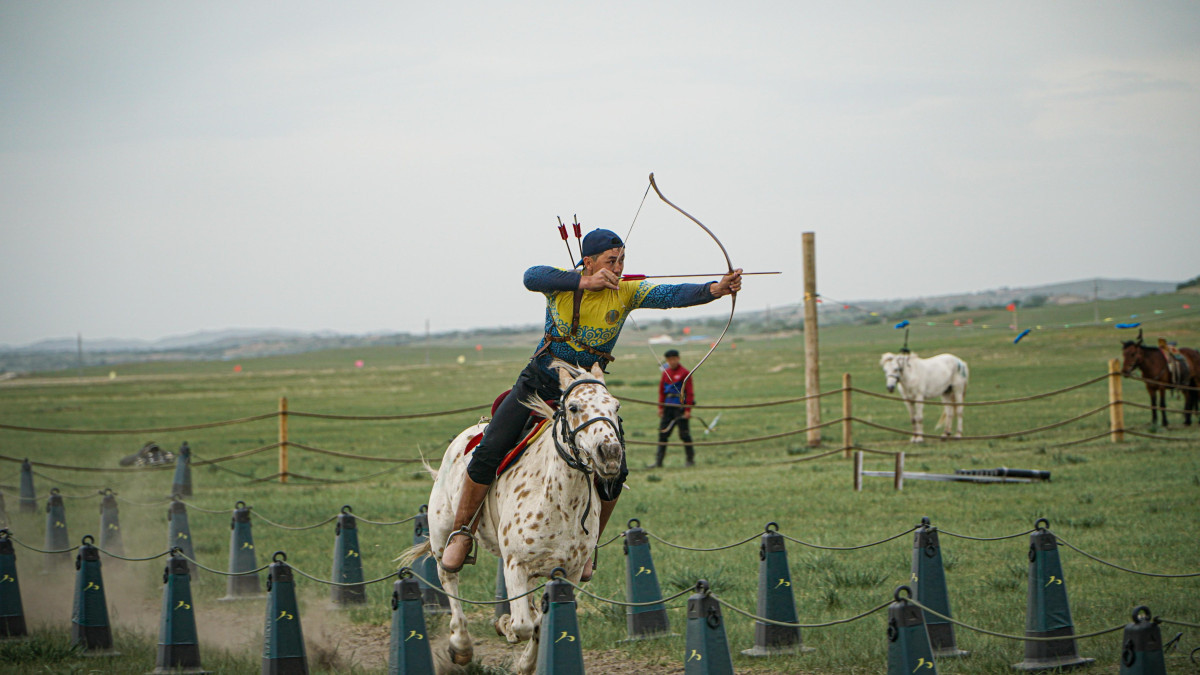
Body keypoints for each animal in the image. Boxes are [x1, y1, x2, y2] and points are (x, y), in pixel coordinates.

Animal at [403, 360, 628, 667]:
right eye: (573, 407)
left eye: (615, 406)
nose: (611, 453)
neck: (561, 503)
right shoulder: (515, 566)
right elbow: (523, 624)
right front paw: (506, 625)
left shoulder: (567, 574)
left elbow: (541, 623)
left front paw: (525, 664)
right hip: (441, 534)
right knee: (449, 578)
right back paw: (461, 645)